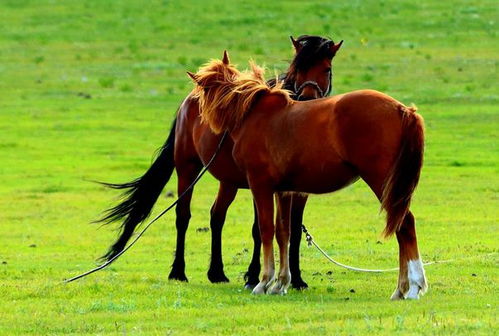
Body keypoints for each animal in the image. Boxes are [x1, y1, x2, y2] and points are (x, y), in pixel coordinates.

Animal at [97, 36, 344, 288]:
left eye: (326, 69)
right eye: (296, 68)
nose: (308, 98)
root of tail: (190, 98)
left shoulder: (297, 190)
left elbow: (292, 228)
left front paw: (297, 279)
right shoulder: (260, 182)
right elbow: (259, 228)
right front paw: (253, 276)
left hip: (228, 181)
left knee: (217, 216)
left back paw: (216, 272)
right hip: (187, 168)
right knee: (183, 216)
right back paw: (179, 271)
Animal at [189, 53, 428, 300]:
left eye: (201, 91)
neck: (254, 114)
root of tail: (401, 109)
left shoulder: (260, 186)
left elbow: (266, 230)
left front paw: (264, 282)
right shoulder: (283, 191)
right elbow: (283, 232)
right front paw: (280, 283)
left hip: (382, 181)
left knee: (405, 224)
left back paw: (413, 287)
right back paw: (401, 289)